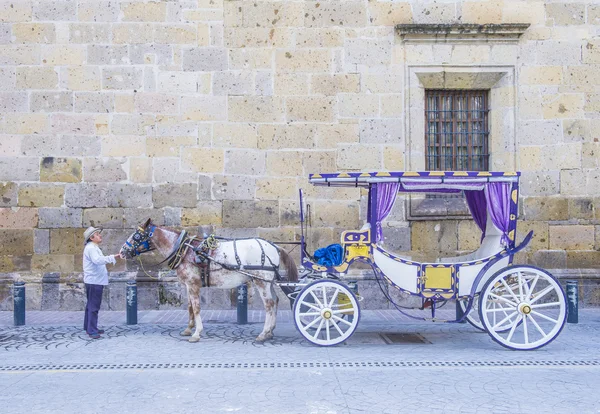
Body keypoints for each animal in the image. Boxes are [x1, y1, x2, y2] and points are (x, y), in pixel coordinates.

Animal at [120, 220, 300, 342]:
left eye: (136, 235)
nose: (122, 251)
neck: (184, 250)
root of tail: (274, 246)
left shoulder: (193, 284)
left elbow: (197, 308)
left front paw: (196, 333)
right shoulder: (188, 285)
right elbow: (190, 307)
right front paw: (188, 329)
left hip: (261, 281)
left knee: (269, 304)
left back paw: (264, 333)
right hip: (268, 282)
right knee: (275, 300)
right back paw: (271, 331)